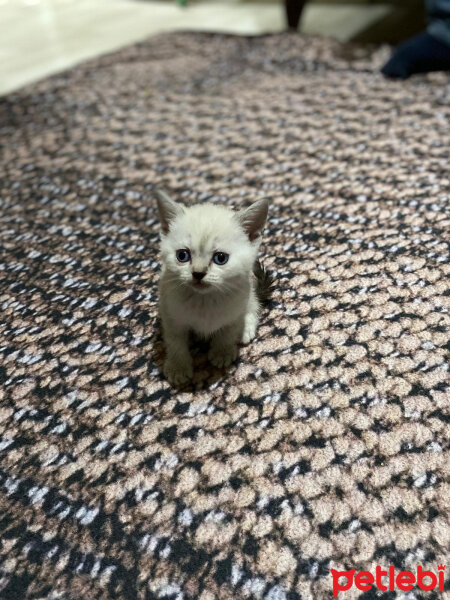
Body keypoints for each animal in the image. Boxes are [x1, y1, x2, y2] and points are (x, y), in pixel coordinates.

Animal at [155, 192, 270, 386]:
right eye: (182, 255)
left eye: (220, 258)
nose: (198, 273)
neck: (204, 301)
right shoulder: (170, 314)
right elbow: (175, 342)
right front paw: (178, 367)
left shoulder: (235, 310)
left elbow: (228, 331)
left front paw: (222, 352)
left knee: (254, 305)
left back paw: (246, 329)